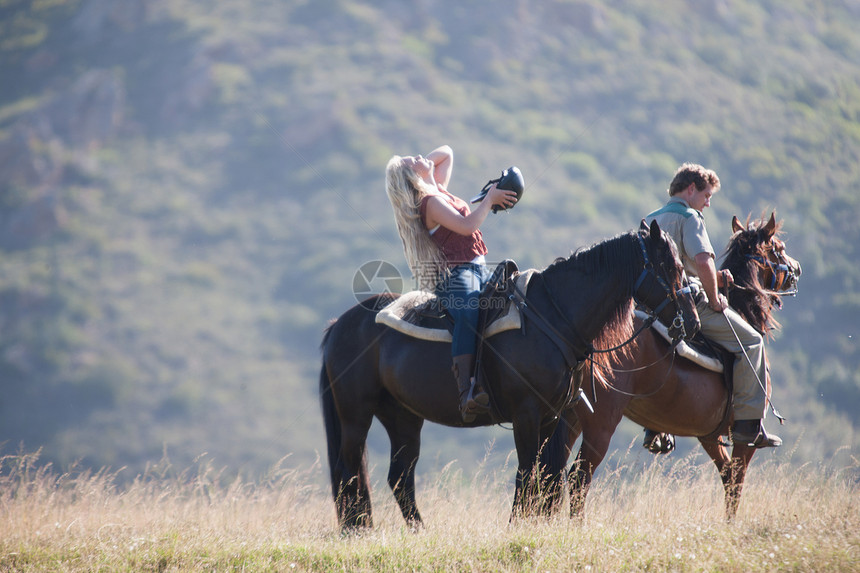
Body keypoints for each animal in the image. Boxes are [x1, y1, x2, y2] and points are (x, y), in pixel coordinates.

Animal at [320, 221, 704, 528]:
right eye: (669, 264)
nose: (692, 321)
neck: (552, 317)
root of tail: (341, 323)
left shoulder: (552, 416)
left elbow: (545, 476)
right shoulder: (526, 414)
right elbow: (527, 473)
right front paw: (517, 526)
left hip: (403, 417)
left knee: (399, 478)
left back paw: (417, 532)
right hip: (356, 414)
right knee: (350, 470)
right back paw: (358, 530)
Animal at [540, 211, 804, 520]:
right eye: (778, 247)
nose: (797, 268)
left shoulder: (709, 435)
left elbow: (726, 476)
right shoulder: (741, 438)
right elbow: (736, 482)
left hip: (569, 418)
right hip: (600, 422)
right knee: (579, 477)